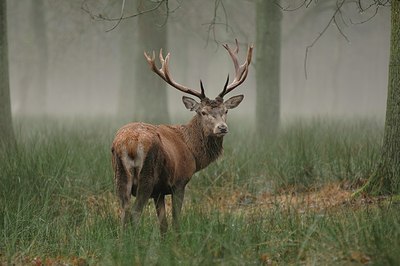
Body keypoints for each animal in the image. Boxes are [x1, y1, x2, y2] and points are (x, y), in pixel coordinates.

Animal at [111, 39, 253, 235]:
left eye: (225, 111)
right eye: (203, 112)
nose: (222, 128)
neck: (192, 151)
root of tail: (129, 144)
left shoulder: (159, 191)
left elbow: (163, 225)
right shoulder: (179, 182)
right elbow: (176, 220)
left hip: (120, 176)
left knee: (123, 211)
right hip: (146, 177)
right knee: (135, 212)